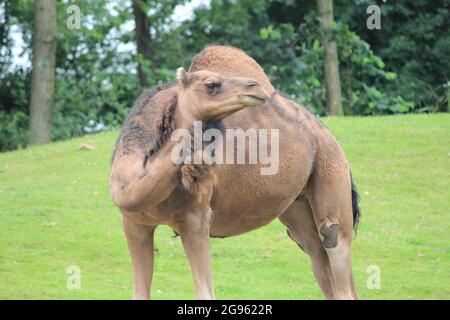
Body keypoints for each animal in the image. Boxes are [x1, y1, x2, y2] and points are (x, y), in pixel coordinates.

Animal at [110, 46, 362, 302]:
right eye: (211, 84)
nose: (254, 86)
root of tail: (325, 132)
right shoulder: (133, 223)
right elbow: (140, 293)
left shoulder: (195, 218)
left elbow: (205, 293)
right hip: (297, 206)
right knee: (318, 255)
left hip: (331, 171)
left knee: (334, 244)